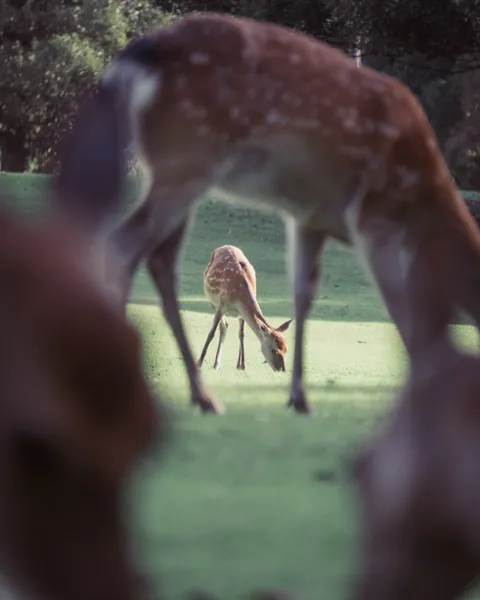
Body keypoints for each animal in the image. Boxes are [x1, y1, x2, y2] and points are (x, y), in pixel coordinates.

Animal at [60, 9, 480, 414]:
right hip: (187, 155)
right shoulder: (374, 215)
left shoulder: (310, 216)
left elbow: (303, 294)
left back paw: (200, 395)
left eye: (283, 348)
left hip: (176, 169)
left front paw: (298, 397)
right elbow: (404, 309)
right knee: (123, 243)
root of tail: (133, 59)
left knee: (160, 260)